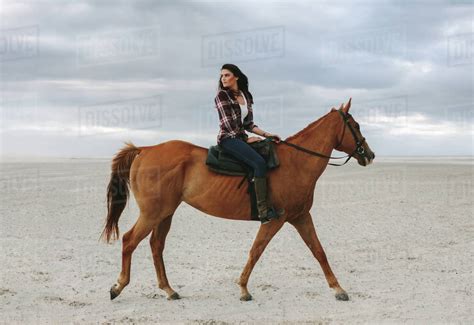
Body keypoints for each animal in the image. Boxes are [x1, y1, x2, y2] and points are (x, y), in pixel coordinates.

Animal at [101, 98, 374, 302]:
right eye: (356, 125)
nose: (369, 154)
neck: (296, 162)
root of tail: (145, 149)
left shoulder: (300, 217)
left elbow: (318, 251)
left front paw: (338, 288)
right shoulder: (276, 220)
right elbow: (256, 250)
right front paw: (243, 288)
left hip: (165, 213)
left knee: (156, 246)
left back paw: (169, 290)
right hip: (152, 213)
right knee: (129, 240)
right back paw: (118, 286)